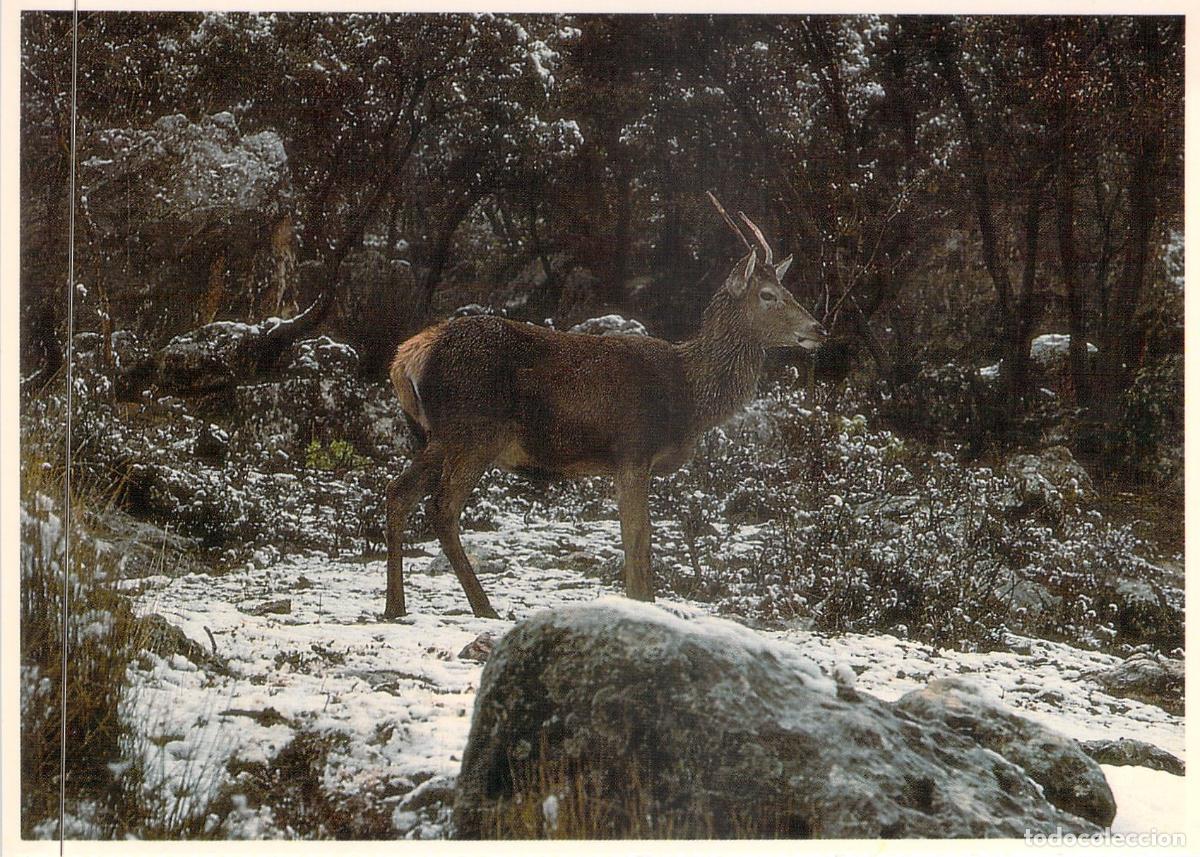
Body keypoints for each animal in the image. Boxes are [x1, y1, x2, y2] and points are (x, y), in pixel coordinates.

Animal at [383, 194, 826, 618]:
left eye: (789, 292)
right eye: (768, 295)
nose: (818, 328)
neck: (687, 396)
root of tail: (407, 357)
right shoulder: (632, 450)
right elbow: (637, 539)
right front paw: (641, 603)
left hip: (440, 436)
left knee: (398, 492)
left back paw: (395, 607)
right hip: (475, 432)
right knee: (441, 508)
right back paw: (484, 608)